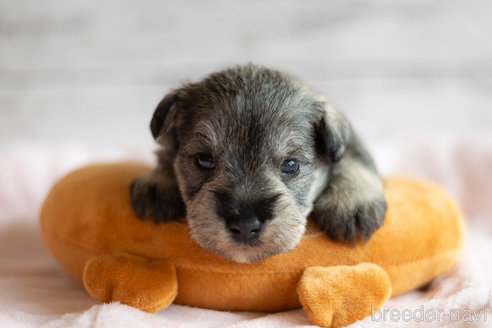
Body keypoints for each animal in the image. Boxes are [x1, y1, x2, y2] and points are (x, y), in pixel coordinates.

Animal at [131, 64, 388, 264]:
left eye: (291, 164)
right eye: (203, 160)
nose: (245, 225)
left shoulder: (352, 144)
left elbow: (352, 162)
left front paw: (350, 202)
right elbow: (165, 153)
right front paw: (158, 183)